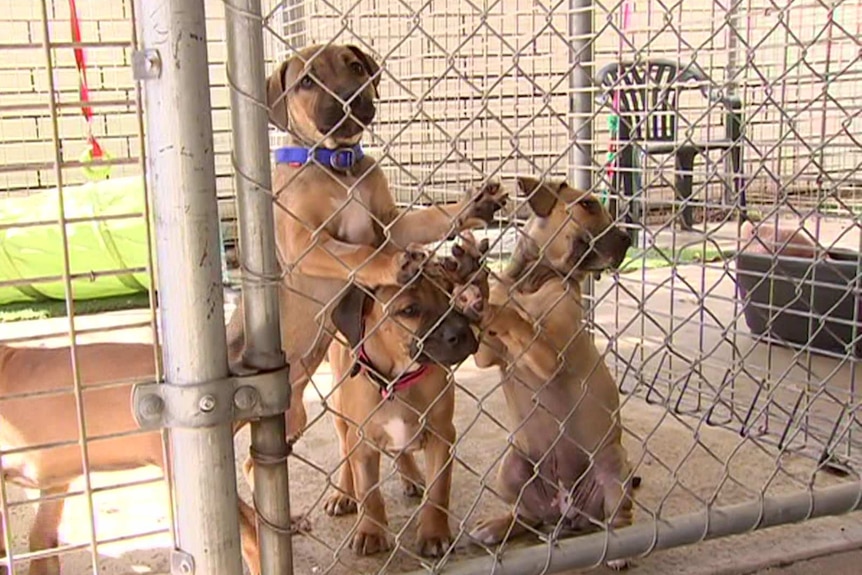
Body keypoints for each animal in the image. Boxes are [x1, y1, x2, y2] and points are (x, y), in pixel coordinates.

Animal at [224, 46, 506, 450]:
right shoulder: (305, 244)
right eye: (306, 81)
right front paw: (396, 266)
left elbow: (431, 218)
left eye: (355, 67)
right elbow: (358, 255)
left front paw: (470, 207)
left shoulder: (392, 222)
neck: (338, 166)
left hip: (292, 417)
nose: (350, 97)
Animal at [470, 177, 636, 572]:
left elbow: (519, 321)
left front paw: (496, 304)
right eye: (588, 204)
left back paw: (620, 549)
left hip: (613, 466)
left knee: (619, 517)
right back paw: (498, 525)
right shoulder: (487, 355)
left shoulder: (551, 355)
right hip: (512, 468)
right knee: (527, 516)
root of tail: (567, 510)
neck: (533, 279)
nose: (628, 238)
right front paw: (477, 290)